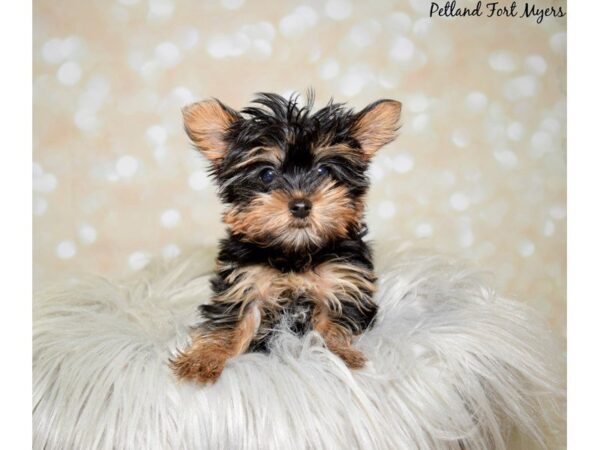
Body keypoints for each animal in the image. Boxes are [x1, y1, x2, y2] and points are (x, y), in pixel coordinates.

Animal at [171, 91, 400, 384]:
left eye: (323, 171)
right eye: (267, 174)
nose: (300, 205)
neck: (295, 252)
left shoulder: (342, 282)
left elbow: (334, 325)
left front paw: (340, 356)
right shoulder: (245, 283)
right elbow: (229, 324)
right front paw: (203, 360)